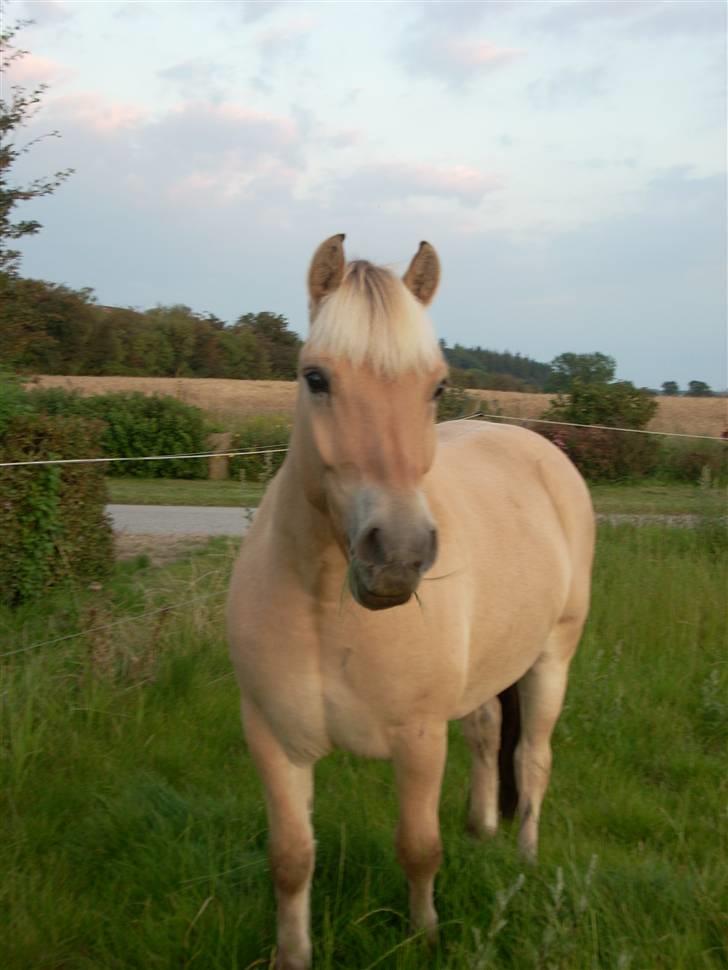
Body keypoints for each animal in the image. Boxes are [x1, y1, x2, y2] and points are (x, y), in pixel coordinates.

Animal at [226, 235, 595, 969]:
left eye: (437, 386)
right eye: (316, 377)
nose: (396, 553)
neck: (323, 608)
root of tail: (539, 447)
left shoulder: (420, 740)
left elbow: (419, 848)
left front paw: (425, 936)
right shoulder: (272, 739)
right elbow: (291, 859)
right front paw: (292, 954)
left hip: (552, 657)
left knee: (532, 758)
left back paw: (524, 859)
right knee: (487, 730)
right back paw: (483, 828)